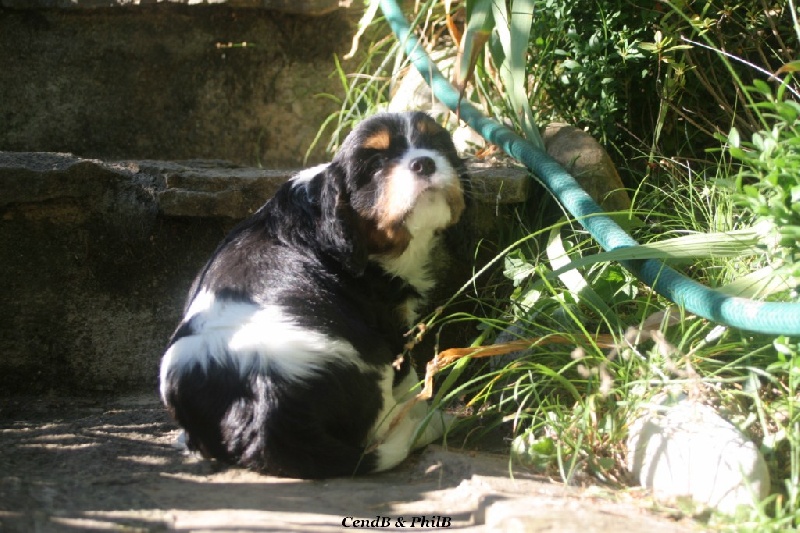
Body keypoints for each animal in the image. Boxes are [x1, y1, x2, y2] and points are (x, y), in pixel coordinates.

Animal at [158, 112, 468, 478]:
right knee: (383, 426)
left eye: (435, 144)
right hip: (371, 363)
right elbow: (410, 380)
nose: (424, 162)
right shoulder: (389, 323)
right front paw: (425, 407)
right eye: (376, 163)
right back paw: (433, 424)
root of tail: (266, 412)